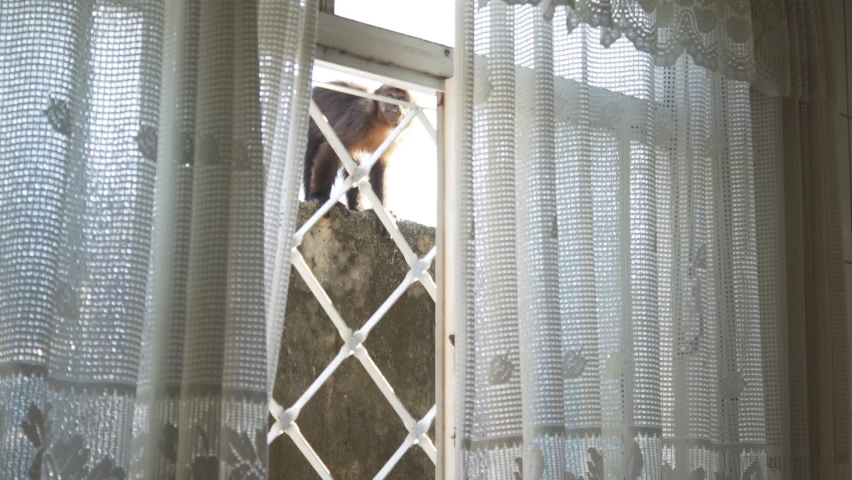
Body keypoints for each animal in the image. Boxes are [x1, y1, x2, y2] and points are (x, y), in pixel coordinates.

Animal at [303, 81, 414, 219]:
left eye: (401, 99)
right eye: (389, 96)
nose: (395, 104)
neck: (381, 123)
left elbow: (380, 165)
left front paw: (381, 210)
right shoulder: (360, 116)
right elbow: (330, 150)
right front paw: (319, 197)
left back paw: (356, 208)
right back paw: (311, 197)